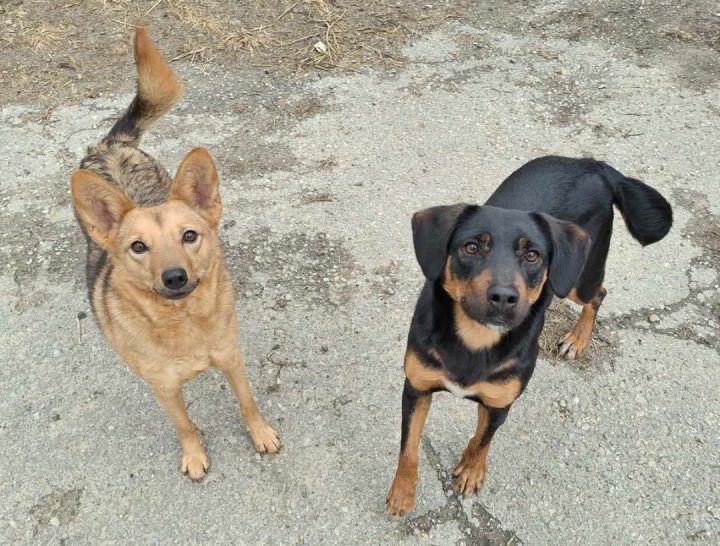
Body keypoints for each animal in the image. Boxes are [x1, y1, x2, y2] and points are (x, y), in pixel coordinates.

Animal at [69, 26, 278, 476]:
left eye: (189, 236)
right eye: (138, 247)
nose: (175, 276)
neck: (185, 324)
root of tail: (109, 145)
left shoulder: (232, 359)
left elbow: (248, 402)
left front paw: (261, 433)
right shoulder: (163, 388)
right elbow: (184, 424)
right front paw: (194, 455)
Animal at [386, 155, 672, 512]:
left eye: (532, 255)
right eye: (471, 247)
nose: (503, 297)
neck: (475, 337)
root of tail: (595, 165)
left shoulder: (499, 403)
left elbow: (482, 441)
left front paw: (471, 470)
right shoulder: (417, 388)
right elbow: (408, 449)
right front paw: (402, 492)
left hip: (576, 278)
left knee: (599, 294)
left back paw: (578, 339)